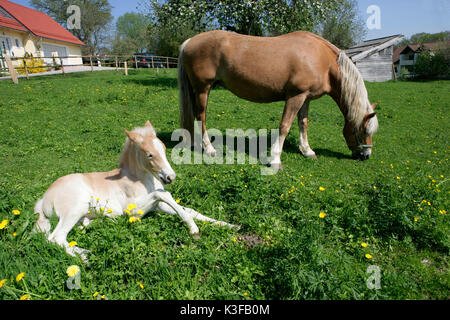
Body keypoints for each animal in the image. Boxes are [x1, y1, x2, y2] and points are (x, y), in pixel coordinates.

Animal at [33, 121, 237, 262]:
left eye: (164, 149)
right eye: (149, 155)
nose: (170, 177)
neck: (141, 179)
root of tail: (43, 200)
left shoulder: (157, 207)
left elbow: (189, 209)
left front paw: (228, 225)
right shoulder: (133, 212)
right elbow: (164, 194)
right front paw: (193, 229)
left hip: (81, 215)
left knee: (72, 231)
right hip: (75, 208)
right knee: (55, 238)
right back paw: (85, 256)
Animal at [178, 31, 378, 169]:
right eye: (363, 130)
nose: (366, 155)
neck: (321, 59)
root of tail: (189, 41)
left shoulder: (306, 98)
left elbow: (303, 123)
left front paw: (307, 151)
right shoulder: (295, 96)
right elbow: (285, 126)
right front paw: (275, 159)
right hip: (203, 89)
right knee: (201, 117)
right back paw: (209, 149)